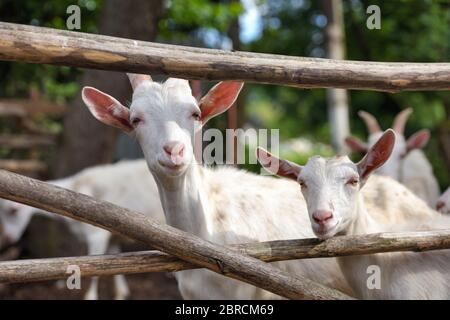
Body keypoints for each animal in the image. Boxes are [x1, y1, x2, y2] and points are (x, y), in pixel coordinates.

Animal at [0, 159, 163, 300]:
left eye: (13, 211)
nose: (8, 237)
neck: (76, 188)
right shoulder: (113, 236)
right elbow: (118, 267)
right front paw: (121, 294)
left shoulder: (97, 235)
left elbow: (93, 270)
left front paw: (90, 297)